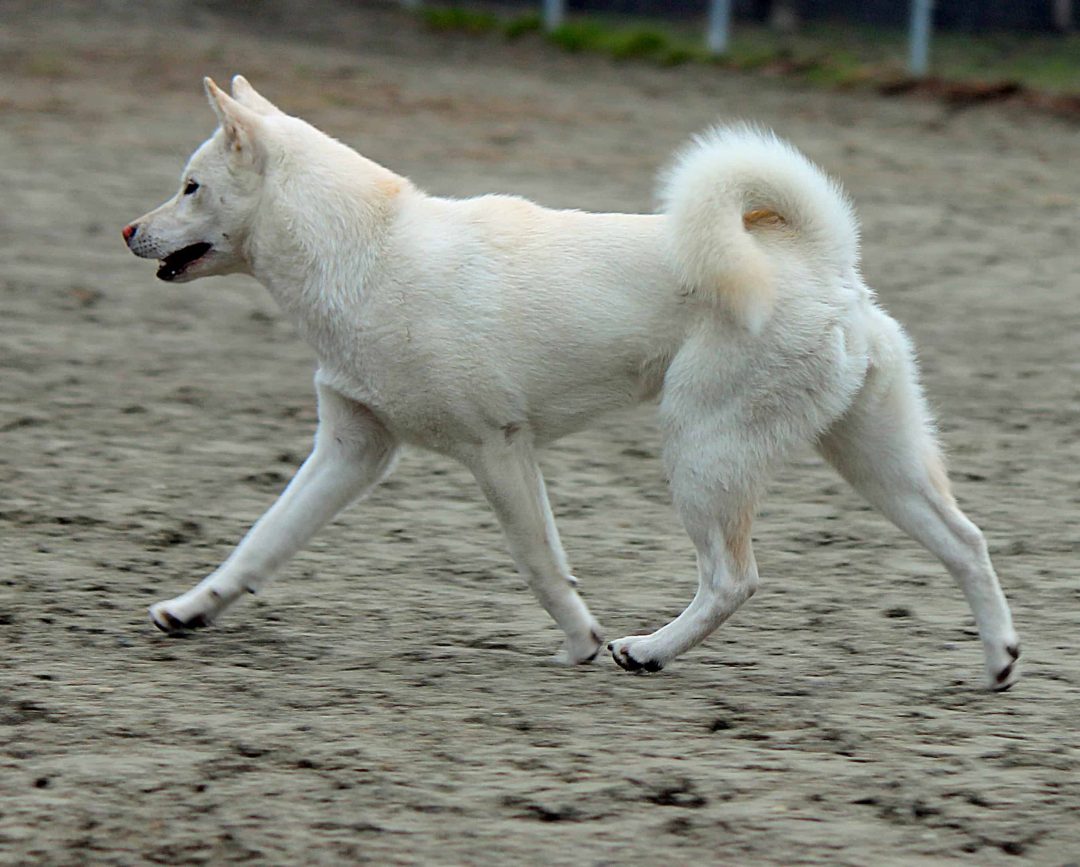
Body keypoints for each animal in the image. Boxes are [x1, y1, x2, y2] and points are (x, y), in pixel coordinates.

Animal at [126, 77, 1019, 691]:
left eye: (191, 185)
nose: (129, 229)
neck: (368, 251)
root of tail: (825, 259)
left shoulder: (498, 450)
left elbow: (540, 562)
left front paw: (583, 640)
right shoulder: (352, 449)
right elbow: (262, 540)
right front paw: (191, 609)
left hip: (703, 453)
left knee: (734, 578)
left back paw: (647, 651)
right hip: (874, 458)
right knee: (967, 541)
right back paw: (1000, 661)